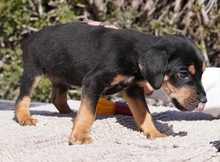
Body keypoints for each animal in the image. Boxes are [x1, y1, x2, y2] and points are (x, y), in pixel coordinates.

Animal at [15, 22, 206, 145]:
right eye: (183, 74)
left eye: (203, 72)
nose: (204, 100)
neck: (135, 56)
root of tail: (30, 38)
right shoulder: (93, 81)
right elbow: (88, 112)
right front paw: (80, 136)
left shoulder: (133, 89)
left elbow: (144, 114)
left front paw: (154, 133)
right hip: (33, 71)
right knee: (22, 98)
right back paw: (25, 118)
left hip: (61, 75)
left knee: (57, 98)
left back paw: (69, 113)